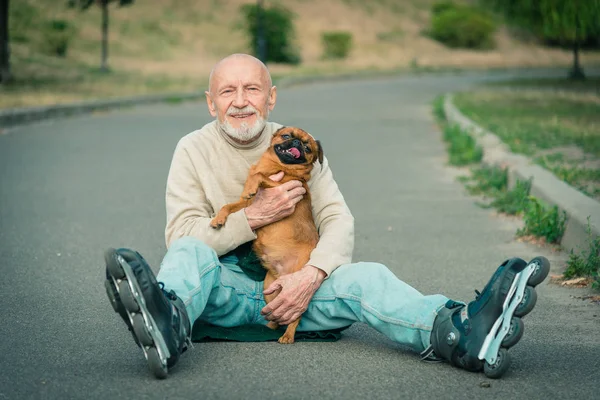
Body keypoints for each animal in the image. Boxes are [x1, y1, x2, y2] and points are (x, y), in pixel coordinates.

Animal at [211, 126, 324, 342]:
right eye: (287, 136)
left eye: (307, 148)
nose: (297, 143)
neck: (277, 166)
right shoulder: (247, 204)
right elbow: (228, 206)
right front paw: (218, 219)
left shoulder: (282, 187)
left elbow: (260, 177)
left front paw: (253, 183)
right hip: (268, 289)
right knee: (276, 313)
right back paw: (269, 327)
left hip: (295, 290)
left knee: (295, 316)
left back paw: (288, 336)